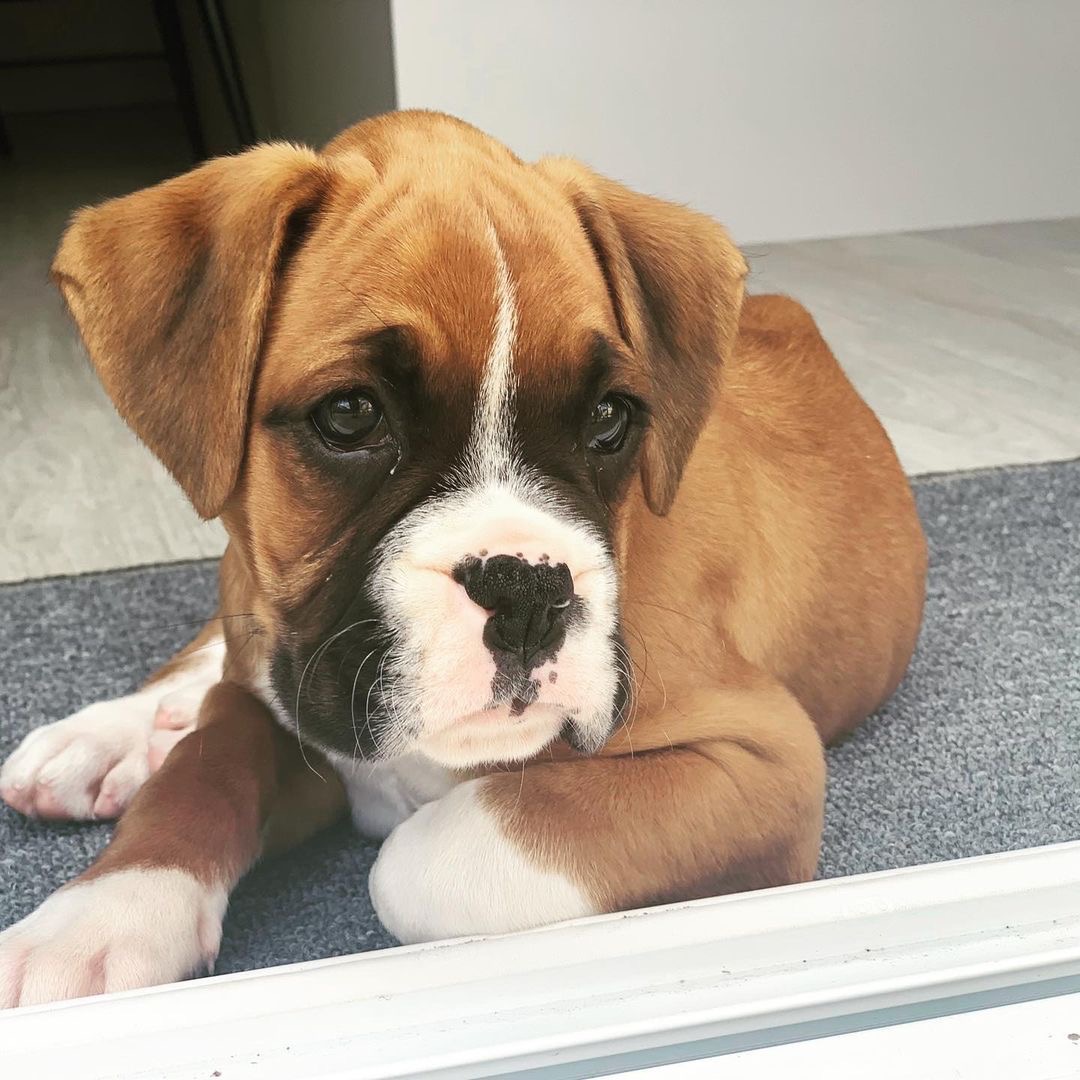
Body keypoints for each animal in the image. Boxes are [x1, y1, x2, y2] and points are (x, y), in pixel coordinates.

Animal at [0, 111, 926, 1006]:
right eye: (349, 414)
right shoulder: (272, 679)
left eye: (610, 419)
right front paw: (100, 916)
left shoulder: (762, 761)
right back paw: (102, 738)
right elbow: (205, 764)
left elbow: (418, 858)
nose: (527, 589)